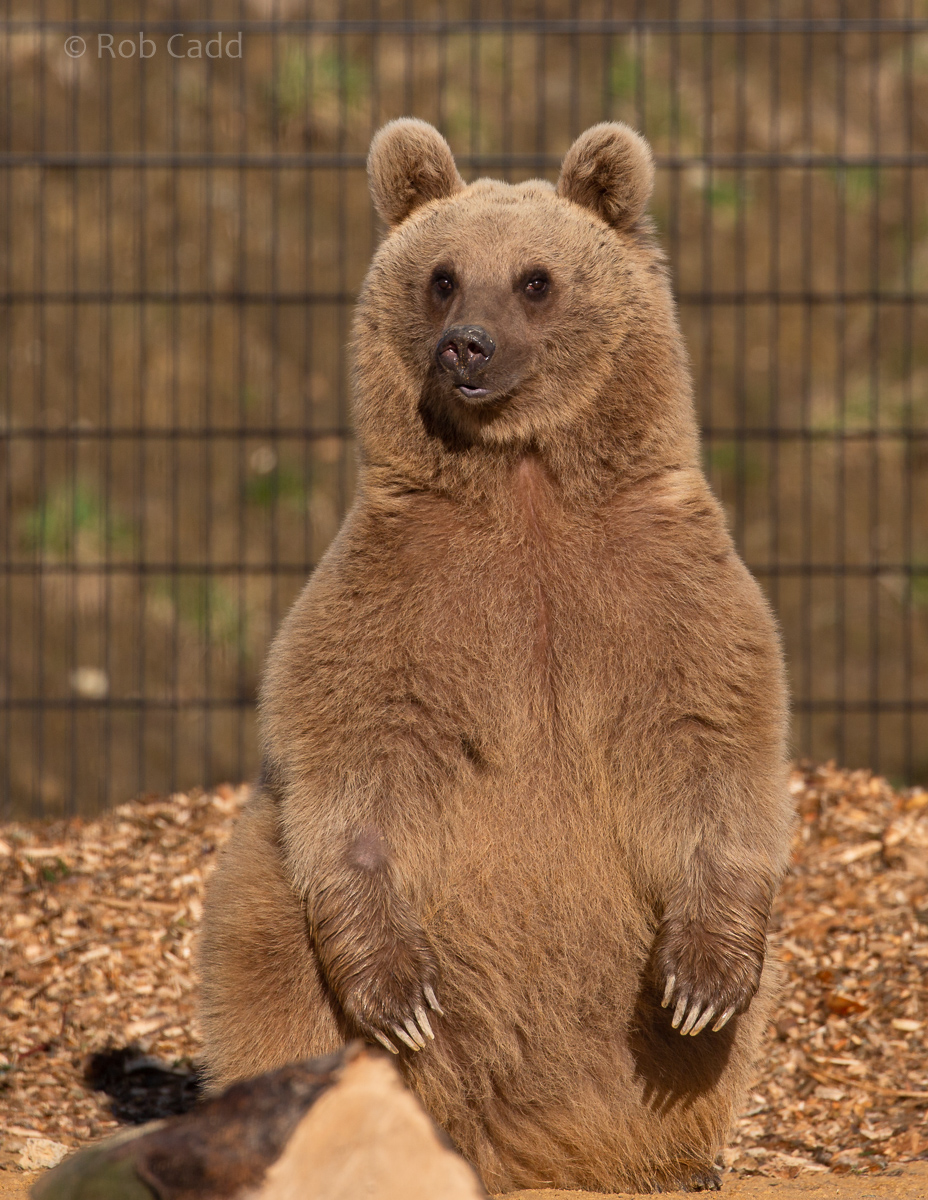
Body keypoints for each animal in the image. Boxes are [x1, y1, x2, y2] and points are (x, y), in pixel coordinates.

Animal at [198, 118, 793, 1194]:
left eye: (534, 279)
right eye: (442, 276)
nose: (465, 344)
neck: (524, 483)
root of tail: (512, 1142)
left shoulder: (662, 587)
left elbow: (715, 747)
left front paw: (702, 981)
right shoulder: (396, 596)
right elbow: (348, 765)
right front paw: (402, 998)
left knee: (689, 1062)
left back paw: (672, 1154)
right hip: (274, 911)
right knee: (261, 952)